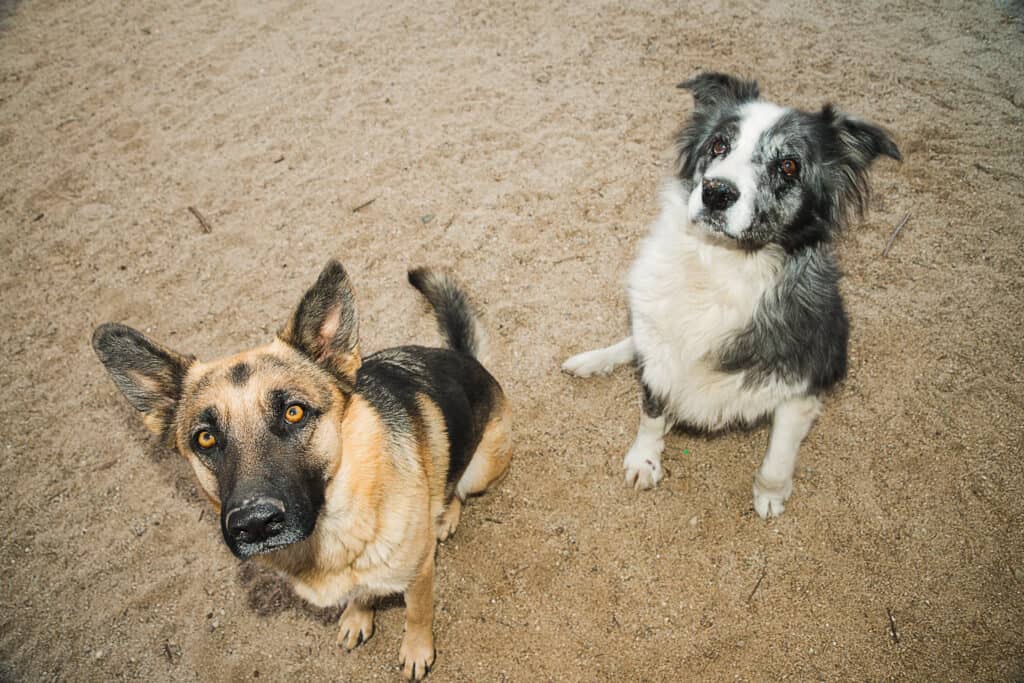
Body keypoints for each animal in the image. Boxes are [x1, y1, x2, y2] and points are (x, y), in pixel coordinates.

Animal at [92, 260, 512, 679]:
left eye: (294, 412)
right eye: (205, 438)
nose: (255, 524)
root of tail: (466, 359)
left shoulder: (419, 572)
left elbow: (417, 613)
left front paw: (416, 649)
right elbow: (360, 592)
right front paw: (358, 615)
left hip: (480, 469)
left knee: (457, 488)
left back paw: (444, 515)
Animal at [565, 72, 901, 518]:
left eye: (788, 166)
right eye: (719, 145)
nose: (716, 192)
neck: (721, 266)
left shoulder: (801, 384)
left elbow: (779, 455)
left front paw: (770, 495)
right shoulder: (662, 354)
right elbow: (651, 414)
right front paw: (645, 459)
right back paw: (591, 360)